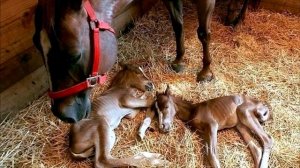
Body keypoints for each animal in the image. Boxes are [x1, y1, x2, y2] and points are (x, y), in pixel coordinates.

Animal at [139, 86, 274, 167]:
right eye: (156, 112)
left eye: (166, 106)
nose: (162, 127)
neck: (193, 111)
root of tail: (263, 105)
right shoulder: (204, 132)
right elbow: (209, 153)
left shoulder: (212, 126)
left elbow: (212, 154)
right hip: (240, 125)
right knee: (257, 150)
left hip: (244, 112)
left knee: (267, 140)